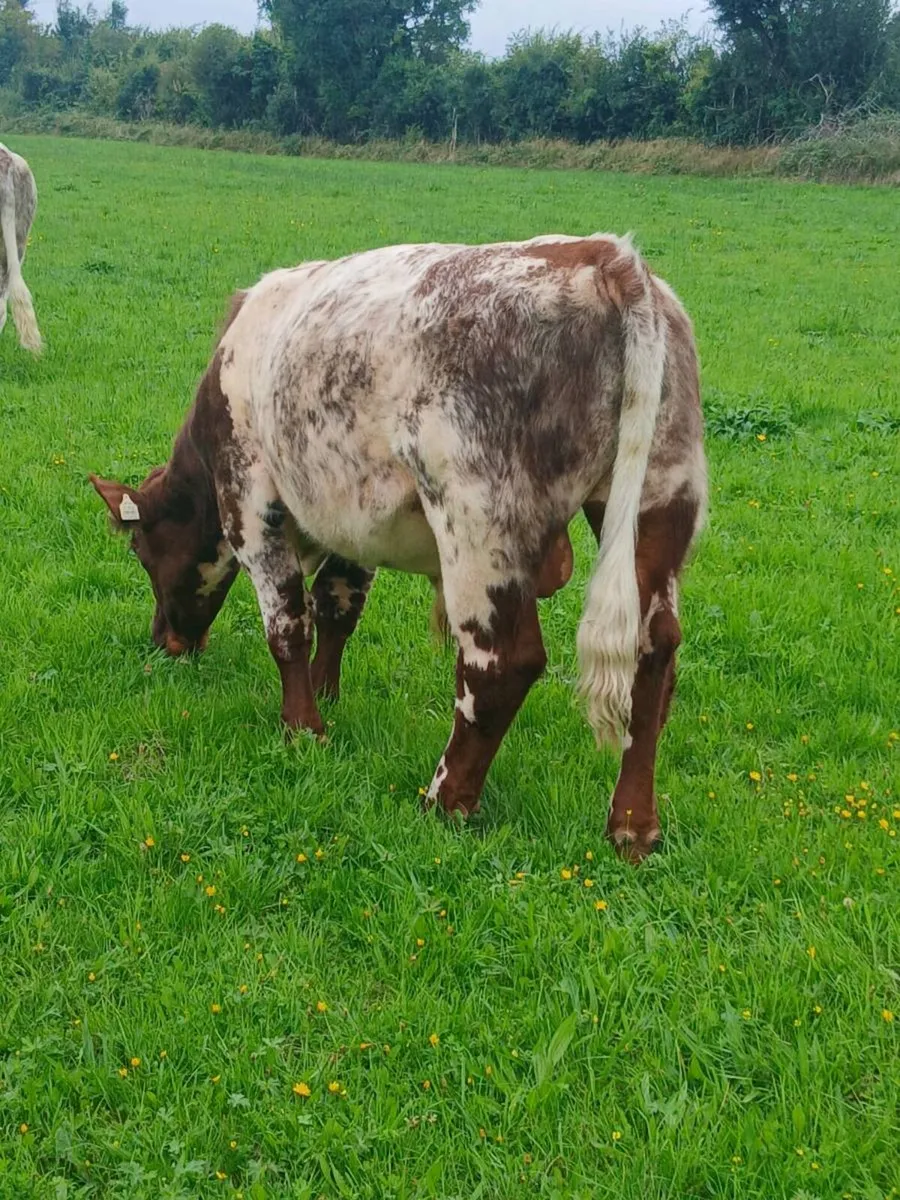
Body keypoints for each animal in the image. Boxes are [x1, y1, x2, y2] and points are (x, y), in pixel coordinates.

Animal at [91, 234, 707, 860]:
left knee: (501, 664)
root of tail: (602, 257)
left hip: (480, 521)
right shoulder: (354, 520)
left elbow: (288, 625)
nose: (165, 641)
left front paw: (303, 728)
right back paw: (632, 824)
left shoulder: (249, 501)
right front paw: (326, 694)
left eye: (142, 553)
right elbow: (336, 608)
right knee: (654, 654)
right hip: (659, 496)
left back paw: (444, 800)